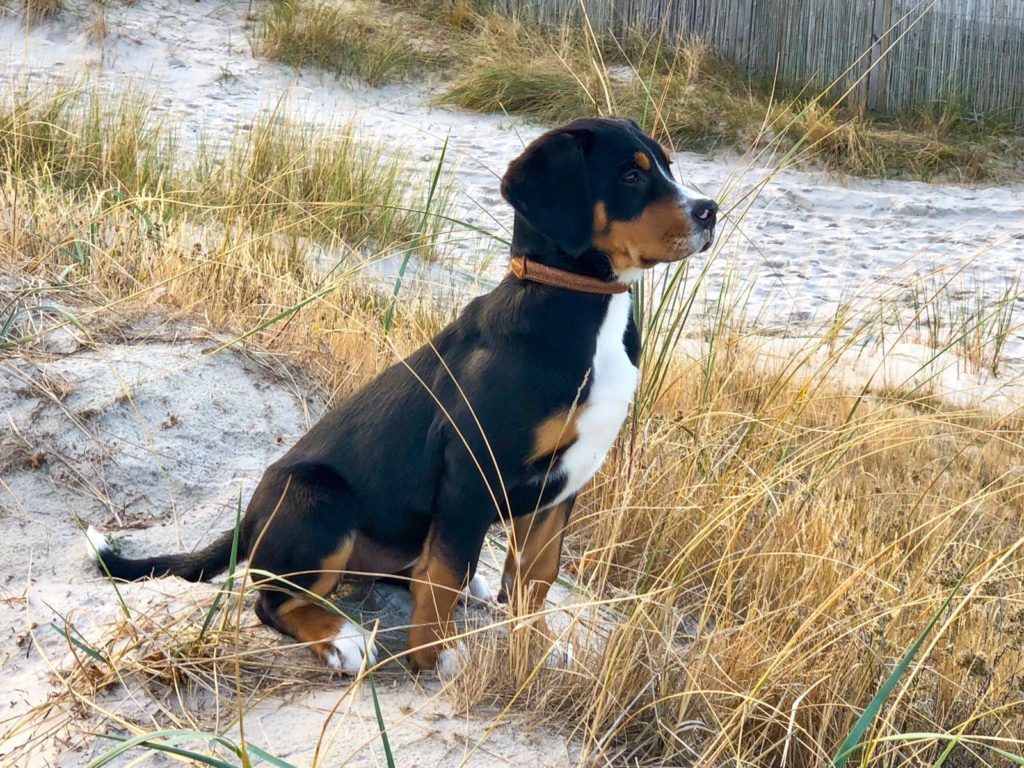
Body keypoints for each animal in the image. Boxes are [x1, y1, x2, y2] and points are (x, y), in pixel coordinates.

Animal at [83, 117, 716, 675]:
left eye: (667, 166)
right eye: (630, 176)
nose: (710, 210)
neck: (580, 305)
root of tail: (252, 517)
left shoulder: (562, 487)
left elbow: (533, 583)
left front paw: (531, 650)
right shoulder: (469, 469)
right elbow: (442, 580)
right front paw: (433, 658)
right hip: (321, 500)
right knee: (273, 599)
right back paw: (341, 639)